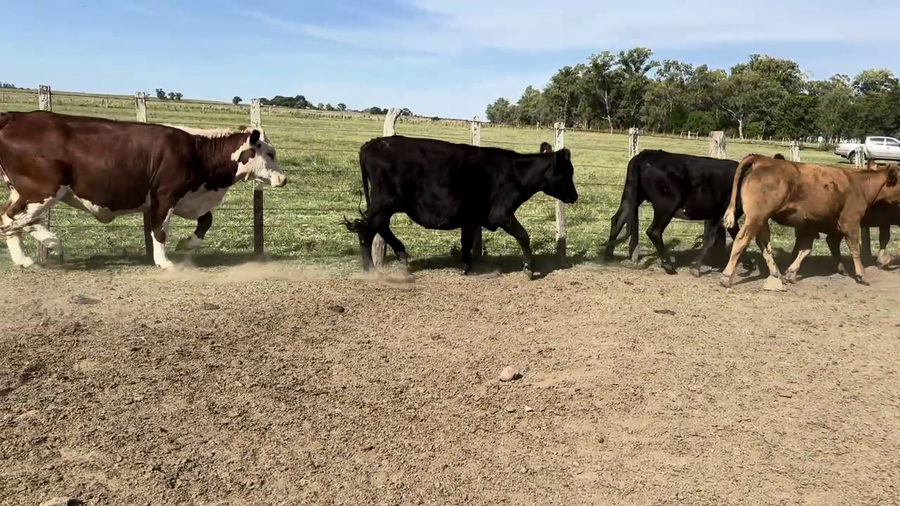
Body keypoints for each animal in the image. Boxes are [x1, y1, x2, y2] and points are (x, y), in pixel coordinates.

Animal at [0, 111, 286, 269]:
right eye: (270, 153)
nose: (283, 179)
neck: (196, 150)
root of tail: (15, 117)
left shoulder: (190, 198)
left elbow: (206, 220)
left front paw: (186, 243)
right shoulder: (164, 196)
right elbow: (159, 231)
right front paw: (164, 261)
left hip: (22, 191)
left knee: (10, 218)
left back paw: (28, 256)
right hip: (42, 190)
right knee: (12, 219)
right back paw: (50, 241)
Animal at [343, 135, 579, 279]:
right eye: (568, 172)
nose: (575, 196)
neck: (514, 172)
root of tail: (371, 144)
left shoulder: (470, 218)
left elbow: (466, 242)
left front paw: (465, 267)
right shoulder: (501, 214)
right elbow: (523, 235)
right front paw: (528, 269)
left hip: (385, 205)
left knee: (375, 227)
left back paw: (399, 255)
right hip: (384, 202)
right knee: (367, 229)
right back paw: (372, 268)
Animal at [603, 149, 785, 276]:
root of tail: (645, 154)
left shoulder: (720, 215)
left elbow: (728, 237)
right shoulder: (724, 214)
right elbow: (715, 239)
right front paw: (697, 268)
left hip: (629, 197)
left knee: (617, 220)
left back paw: (608, 255)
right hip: (666, 206)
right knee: (654, 231)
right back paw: (668, 265)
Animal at [720, 154, 900, 288]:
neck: (860, 184)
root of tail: (762, 159)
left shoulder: (812, 225)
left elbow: (805, 249)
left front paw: (791, 273)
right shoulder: (850, 221)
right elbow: (854, 248)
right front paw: (861, 274)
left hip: (762, 218)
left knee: (764, 243)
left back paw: (777, 273)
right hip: (755, 216)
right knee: (742, 240)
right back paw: (727, 277)